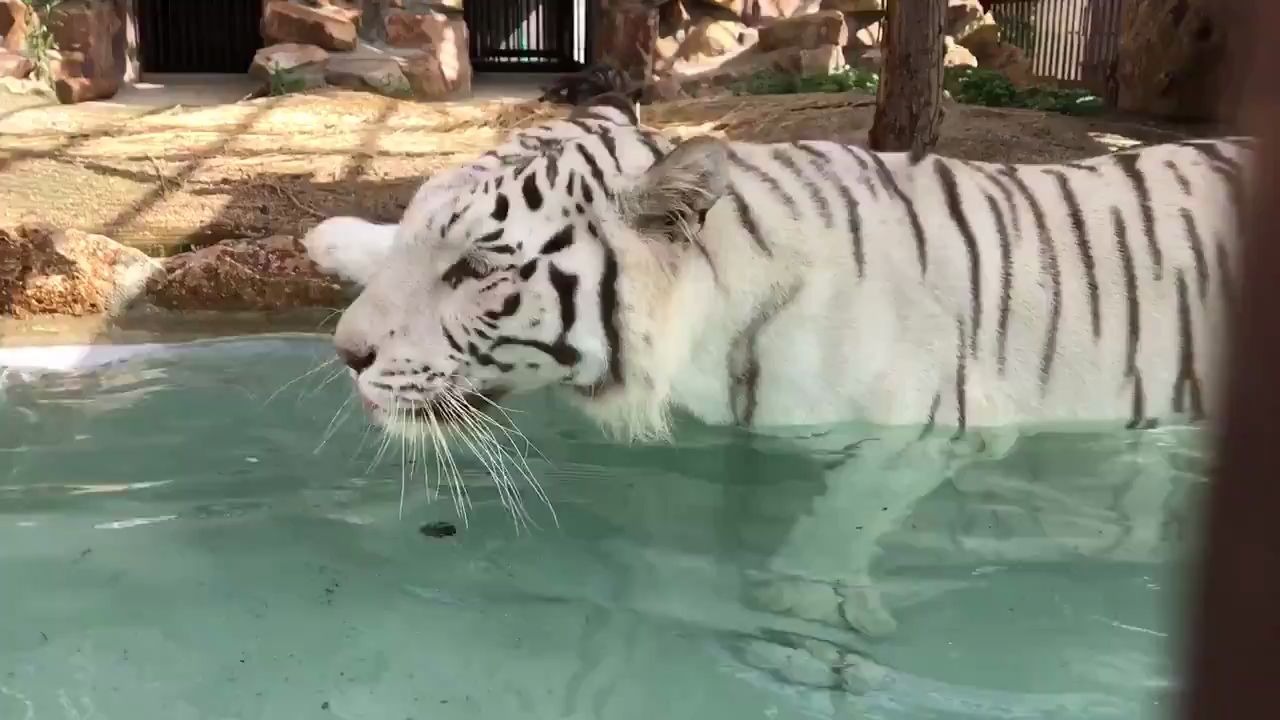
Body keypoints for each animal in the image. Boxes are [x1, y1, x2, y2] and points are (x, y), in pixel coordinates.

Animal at [304, 92, 1252, 692]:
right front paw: (340, 238)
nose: (346, 352)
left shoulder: (938, 423)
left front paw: (810, 617)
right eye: (422, 243)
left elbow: (847, 514)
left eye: (475, 270)